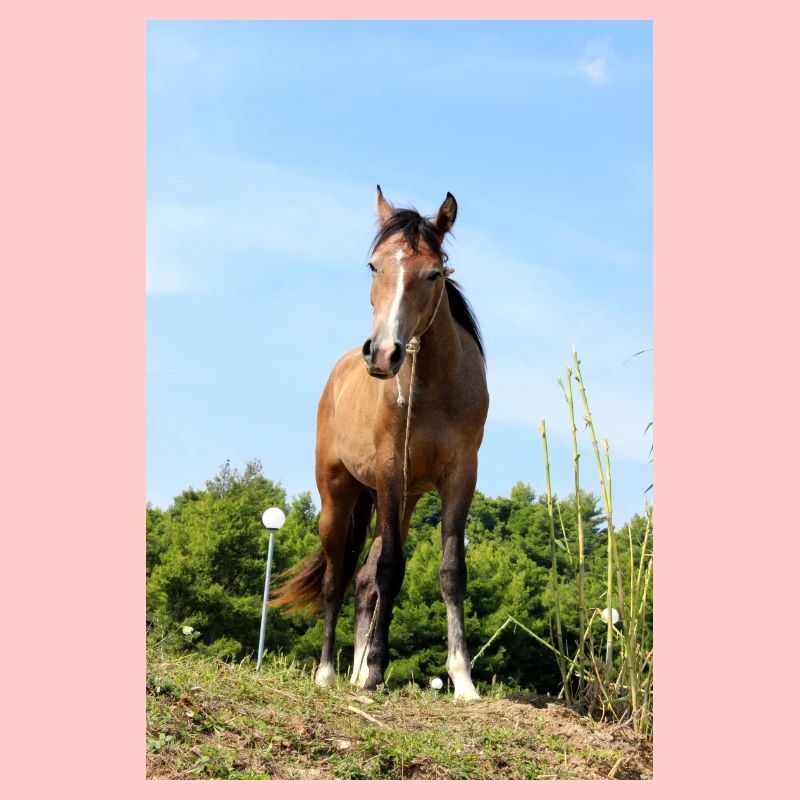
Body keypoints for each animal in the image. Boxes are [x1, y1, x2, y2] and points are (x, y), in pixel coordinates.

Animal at [273, 187, 488, 702]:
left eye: (434, 273)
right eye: (374, 266)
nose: (384, 353)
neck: (433, 386)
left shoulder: (460, 477)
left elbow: (450, 572)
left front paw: (463, 678)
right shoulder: (392, 471)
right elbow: (391, 570)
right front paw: (373, 672)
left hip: (402, 501)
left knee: (362, 581)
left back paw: (352, 670)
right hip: (339, 497)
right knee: (337, 581)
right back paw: (330, 672)